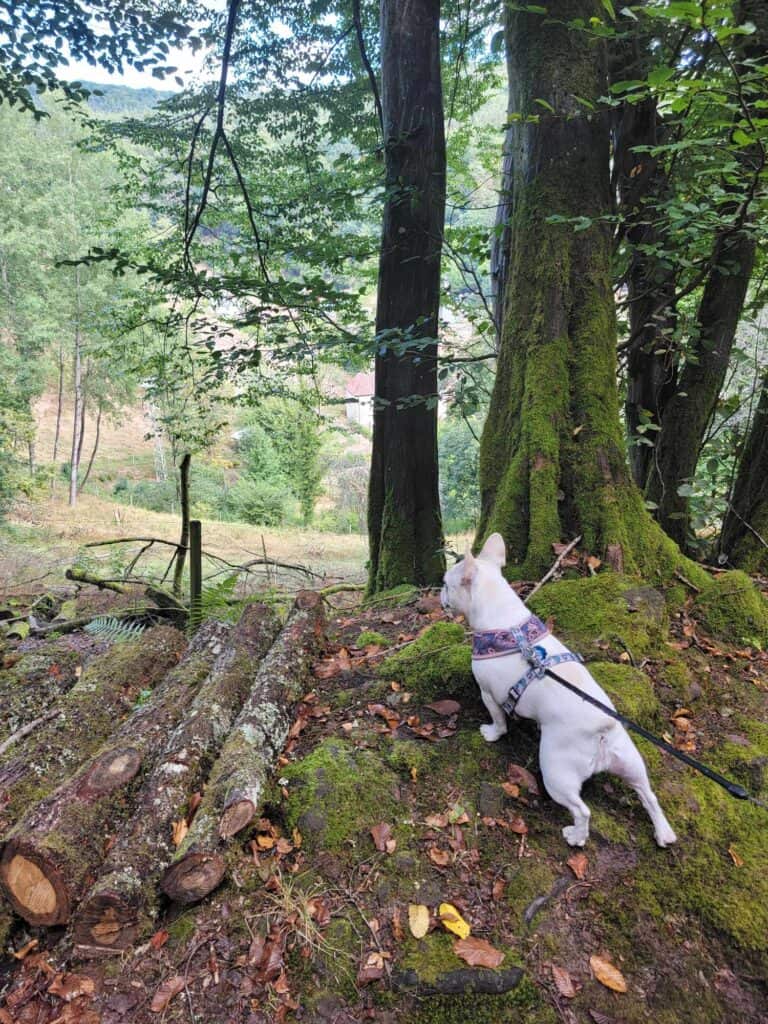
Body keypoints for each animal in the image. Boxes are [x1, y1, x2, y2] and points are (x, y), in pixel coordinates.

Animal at [442, 536, 675, 847]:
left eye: (446, 584)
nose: (440, 592)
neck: (505, 622)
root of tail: (602, 729)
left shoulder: (489, 694)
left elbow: (499, 721)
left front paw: (492, 733)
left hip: (556, 772)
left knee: (582, 811)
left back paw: (576, 836)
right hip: (630, 762)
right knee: (648, 795)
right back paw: (664, 832)